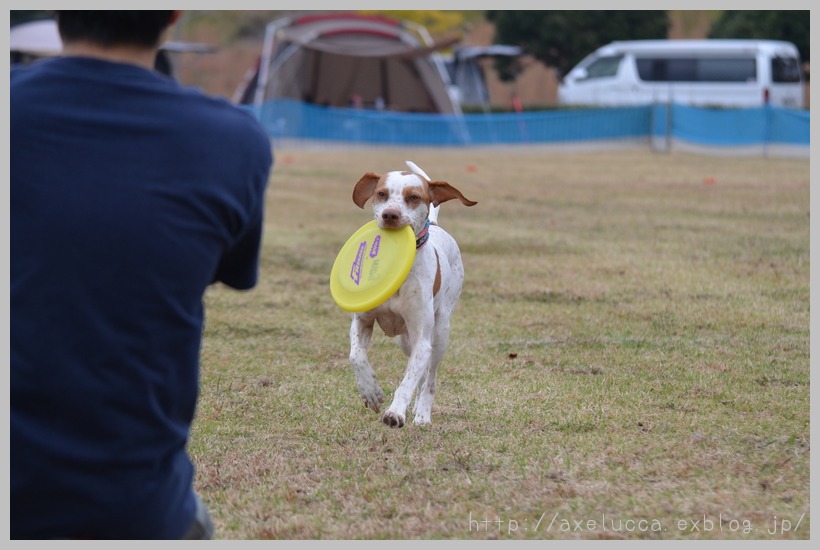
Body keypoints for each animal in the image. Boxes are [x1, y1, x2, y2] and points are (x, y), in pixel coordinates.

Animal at [350, 162, 478, 430]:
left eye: (414, 197)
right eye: (381, 194)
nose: (390, 215)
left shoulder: (423, 338)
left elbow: (408, 381)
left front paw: (395, 413)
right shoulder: (362, 320)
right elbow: (356, 355)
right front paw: (370, 391)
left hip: (440, 333)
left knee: (429, 377)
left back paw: (422, 414)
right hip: (404, 341)